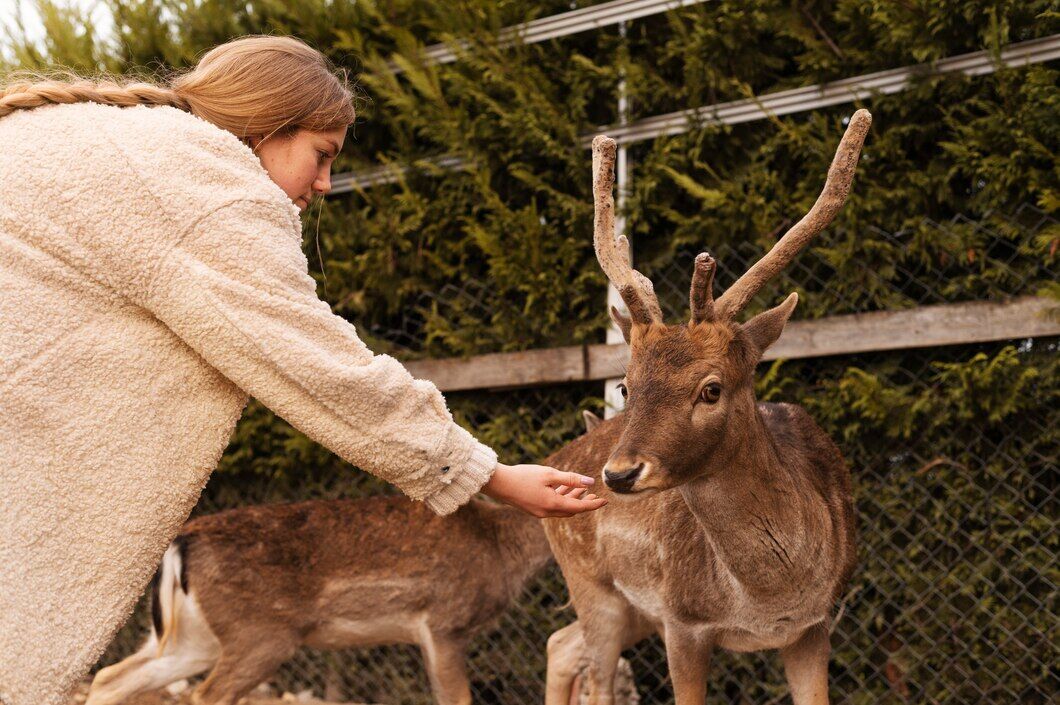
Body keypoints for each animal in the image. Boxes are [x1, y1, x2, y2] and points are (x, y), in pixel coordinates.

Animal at [83, 491, 555, 703]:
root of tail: (183, 542)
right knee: (203, 694)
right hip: (260, 636)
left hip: (193, 638)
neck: (501, 545)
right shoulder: (446, 622)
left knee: (112, 676)